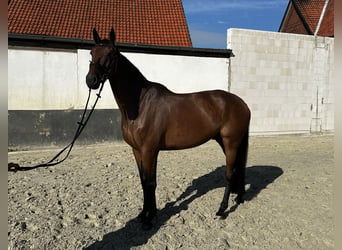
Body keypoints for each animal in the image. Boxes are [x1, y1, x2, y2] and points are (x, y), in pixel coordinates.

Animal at [85, 27, 251, 230]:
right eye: (91, 52)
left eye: (111, 54)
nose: (91, 80)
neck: (140, 104)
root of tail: (242, 103)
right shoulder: (137, 150)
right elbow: (144, 182)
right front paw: (144, 214)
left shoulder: (149, 150)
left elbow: (150, 183)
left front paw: (149, 219)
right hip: (225, 141)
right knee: (239, 168)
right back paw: (239, 198)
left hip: (231, 142)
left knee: (229, 173)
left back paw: (222, 209)